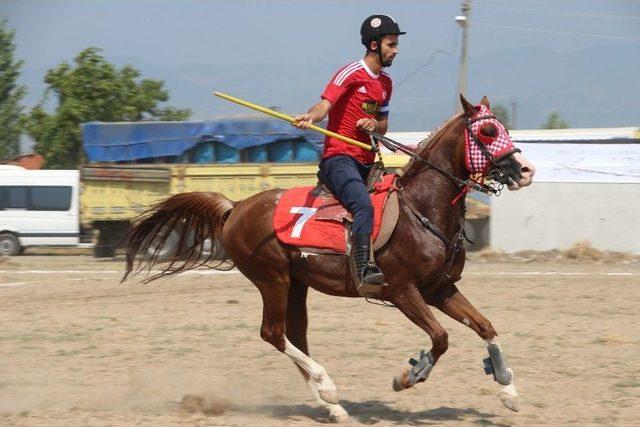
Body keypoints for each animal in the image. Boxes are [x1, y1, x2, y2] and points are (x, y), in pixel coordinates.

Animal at [125, 96, 536, 422]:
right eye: (488, 131)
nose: (526, 171)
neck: (420, 210)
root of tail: (235, 207)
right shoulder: (403, 292)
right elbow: (440, 337)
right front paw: (408, 377)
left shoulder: (441, 289)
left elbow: (485, 327)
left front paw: (508, 390)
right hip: (272, 279)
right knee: (273, 334)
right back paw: (329, 388)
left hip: (296, 285)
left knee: (295, 336)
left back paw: (332, 405)